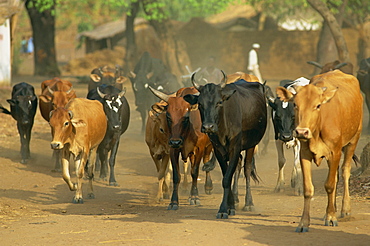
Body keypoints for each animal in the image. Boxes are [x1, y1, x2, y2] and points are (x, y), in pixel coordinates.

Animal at [184, 72, 266, 218]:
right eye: (200, 103)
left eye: (219, 102)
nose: (208, 127)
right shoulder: (219, 151)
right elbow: (226, 177)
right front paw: (229, 205)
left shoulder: (235, 148)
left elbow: (227, 177)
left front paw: (224, 208)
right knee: (238, 165)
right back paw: (236, 199)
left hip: (252, 145)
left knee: (247, 169)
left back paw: (249, 203)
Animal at [280, 70, 362, 232]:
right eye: (295, 104)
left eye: (318, 105)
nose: (301, 132)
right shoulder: (304, 154)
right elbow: (308, 189)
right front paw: (304, 223)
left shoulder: (335, 152)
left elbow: (329, 185)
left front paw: (331, 217)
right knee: (336, 177)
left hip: (353, 140)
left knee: (345, 171)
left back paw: (344, 209)